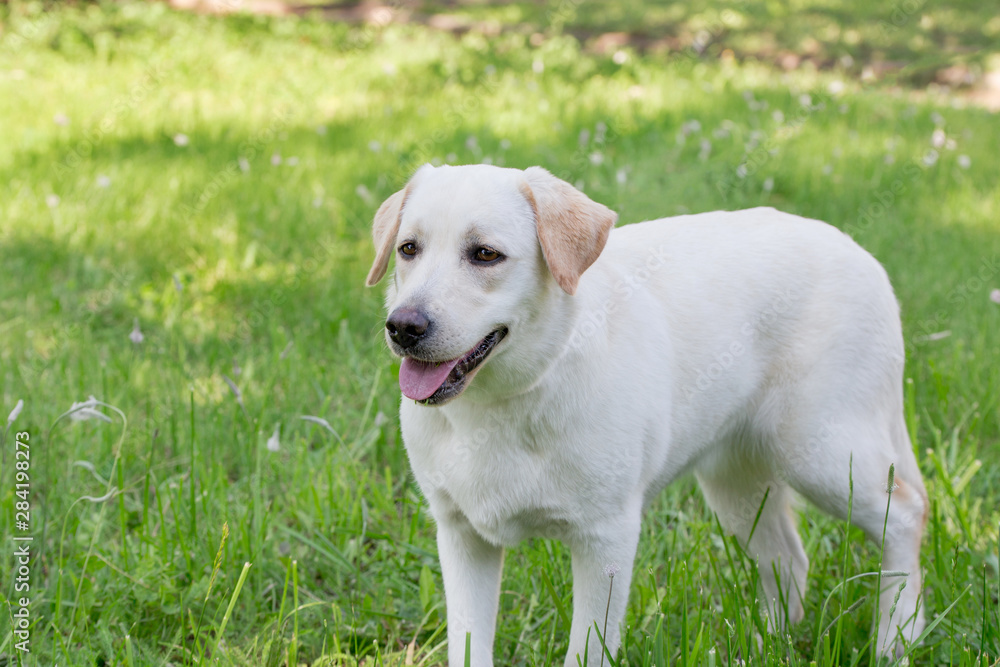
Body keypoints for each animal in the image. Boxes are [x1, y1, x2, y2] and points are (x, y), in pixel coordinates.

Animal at [368, 164, 928, 664]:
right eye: (408, 249)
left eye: (485, 254)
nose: (403, 326)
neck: (500, 403)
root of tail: (859, 251)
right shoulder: (462, 536)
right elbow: (468, 647)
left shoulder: (606, 539)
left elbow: (587, 652)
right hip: (737, 486)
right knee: (790, 559)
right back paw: (769, 645)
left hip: (823, 454)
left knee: (905, 515)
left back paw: (894, 641)